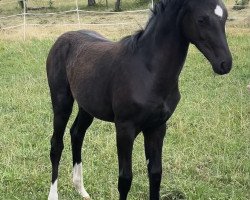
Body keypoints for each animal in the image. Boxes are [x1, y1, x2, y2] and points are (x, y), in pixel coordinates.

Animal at [47, 0, 232, 199]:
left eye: (225, 17)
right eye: (201, 19)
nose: (225, 64)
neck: (148, 71)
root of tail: (63, 38)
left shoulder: (157, 127)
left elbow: (156, 173)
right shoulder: (125, 129)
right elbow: (125, 179)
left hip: (87, 107)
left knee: (77, 134)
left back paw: (81, 189)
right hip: (61, 102)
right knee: (56, 144)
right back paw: (53, 194)